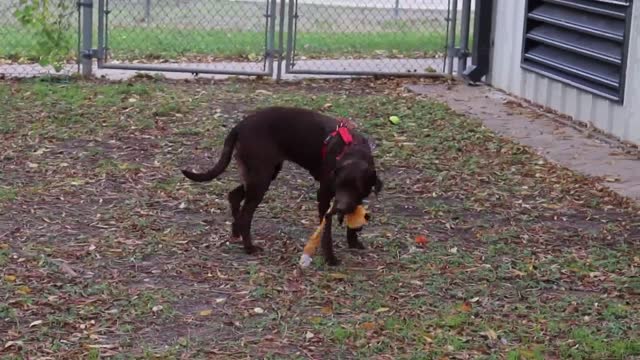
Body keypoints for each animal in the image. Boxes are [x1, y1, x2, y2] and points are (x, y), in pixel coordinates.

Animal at [181, 105, 380, 266]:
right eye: (338, 185)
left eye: (357, 188)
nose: (339, 208)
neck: (352, 152)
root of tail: (240, 126)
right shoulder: (324, 195)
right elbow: (326, 231)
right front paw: (330, 257)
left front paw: (353, 241)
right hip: (261, 177)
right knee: (246, 214)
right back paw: (249, 247)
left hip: (263, 173)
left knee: (235, 195)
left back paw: (236, 231)